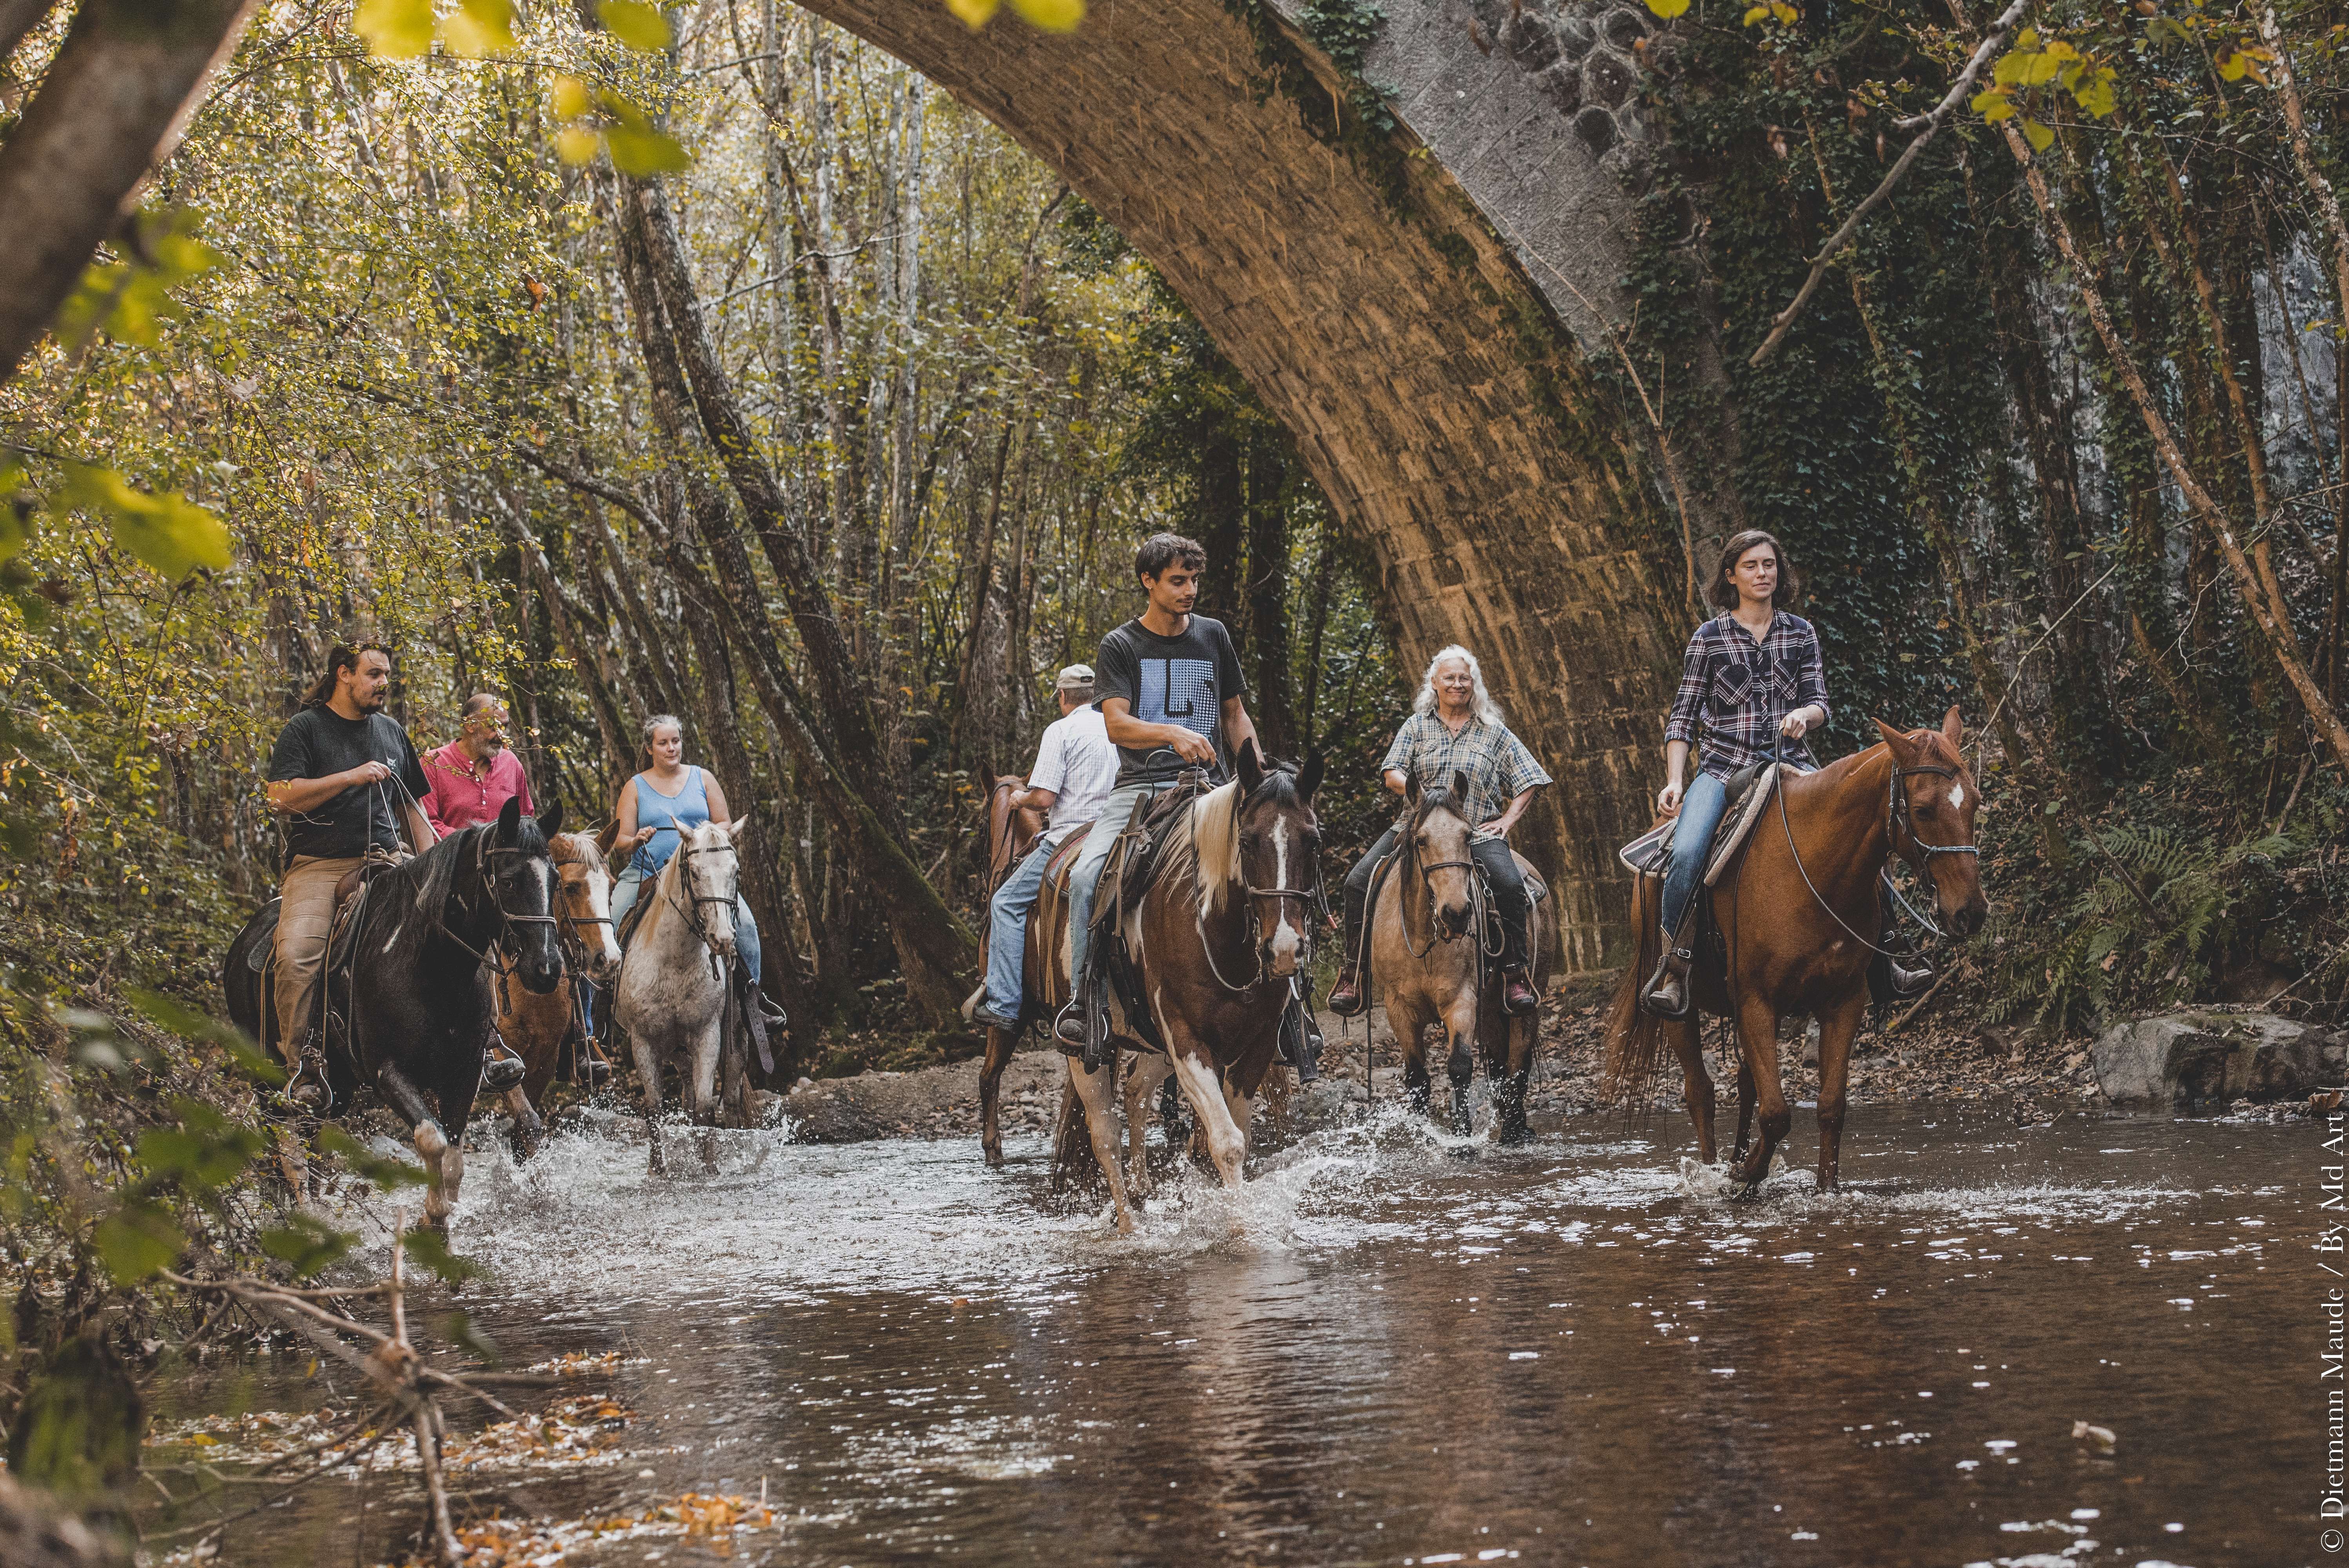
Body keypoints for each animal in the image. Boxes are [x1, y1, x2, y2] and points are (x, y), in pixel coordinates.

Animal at [491, 830, 622, 1158]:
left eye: (612, 885)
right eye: (571, 887)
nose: (610, 958)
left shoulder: (544, 1058)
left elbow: (523, 1133)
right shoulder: (503, 1056)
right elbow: (528, 1122)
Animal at [613, 817, 754, 1174]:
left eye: (736, 871)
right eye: (694, 872)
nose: (723, 939)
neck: (675, 961)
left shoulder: (708, 1034)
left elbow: (706, 1107)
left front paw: (710, 1168)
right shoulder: (644, 1041)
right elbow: (654, 1108)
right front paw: (658, 1170)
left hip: (735, 1036)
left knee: (731, 1098)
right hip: (675, 1047)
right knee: (688, 1090)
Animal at [1056, 740, 1325, 1233]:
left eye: (1313, 840)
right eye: (1247, 840)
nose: (1283, 949)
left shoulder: (1255, 1046)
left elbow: (1232, 1138)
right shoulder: (1186, 1042)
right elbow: (1226, 1142)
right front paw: (1242, 1232)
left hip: (1152, 1045)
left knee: (1136, 1093)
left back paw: (1143, 1189)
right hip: (1085, 1051)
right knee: (1103, 1135)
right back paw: (1129, 1226)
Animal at [1366, 771, 1551, 1142]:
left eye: (1467, 836)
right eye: (1421, 841)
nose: (1457, 913)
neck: (1423, 940)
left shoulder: (1460, 1000)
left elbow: (1460, 1067)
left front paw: (1463, 1139)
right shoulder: (1398, 1008)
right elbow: (1418, 1078)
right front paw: (1423, 1137)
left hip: (1526, 1000)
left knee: (1518, 1063)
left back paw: (1514, 1130)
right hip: (1491, 1009)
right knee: (1498, 1065)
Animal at [1601, 710, 1986, 1196]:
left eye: (1975, 802)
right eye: (1922, 810)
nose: (1970, 912)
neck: (1814, 868)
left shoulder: (1843, 1003)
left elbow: (1830, 1107)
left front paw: (1820, 1188)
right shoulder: (1756, 1002)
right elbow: (1777, 1113)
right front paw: (1746, 1177)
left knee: (1745, 1084)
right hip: (1677, 1011)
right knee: (1700, 1091)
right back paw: (1713, 1170)